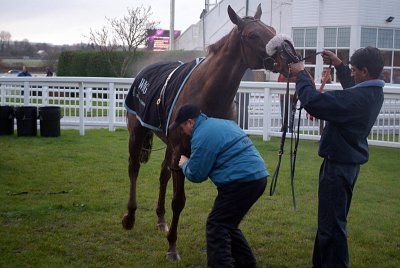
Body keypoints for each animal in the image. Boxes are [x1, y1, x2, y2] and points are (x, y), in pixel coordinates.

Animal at [123, 3, 282, 260]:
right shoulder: (181, 149)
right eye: (253, 35)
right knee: (134, 168)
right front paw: (172, 247)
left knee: (163, 174)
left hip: (167, 143)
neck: (207, 93)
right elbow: (178, 201)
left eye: (272, 29)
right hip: (136, 133)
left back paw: (160, 220)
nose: (289, 52)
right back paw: (129, 216)